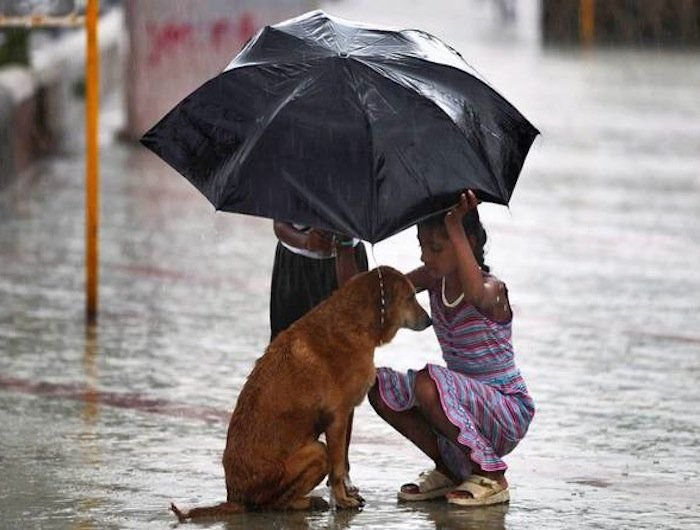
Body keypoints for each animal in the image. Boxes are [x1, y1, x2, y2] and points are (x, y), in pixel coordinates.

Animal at [172, 266, 430, 516]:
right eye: (410, 297)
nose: (429, 320)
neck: (353, 321)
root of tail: (234, 498)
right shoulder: (337, 419)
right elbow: (338, 469)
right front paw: (342, 500)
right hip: (316, 451)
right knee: (274, 503)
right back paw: (307, 502)